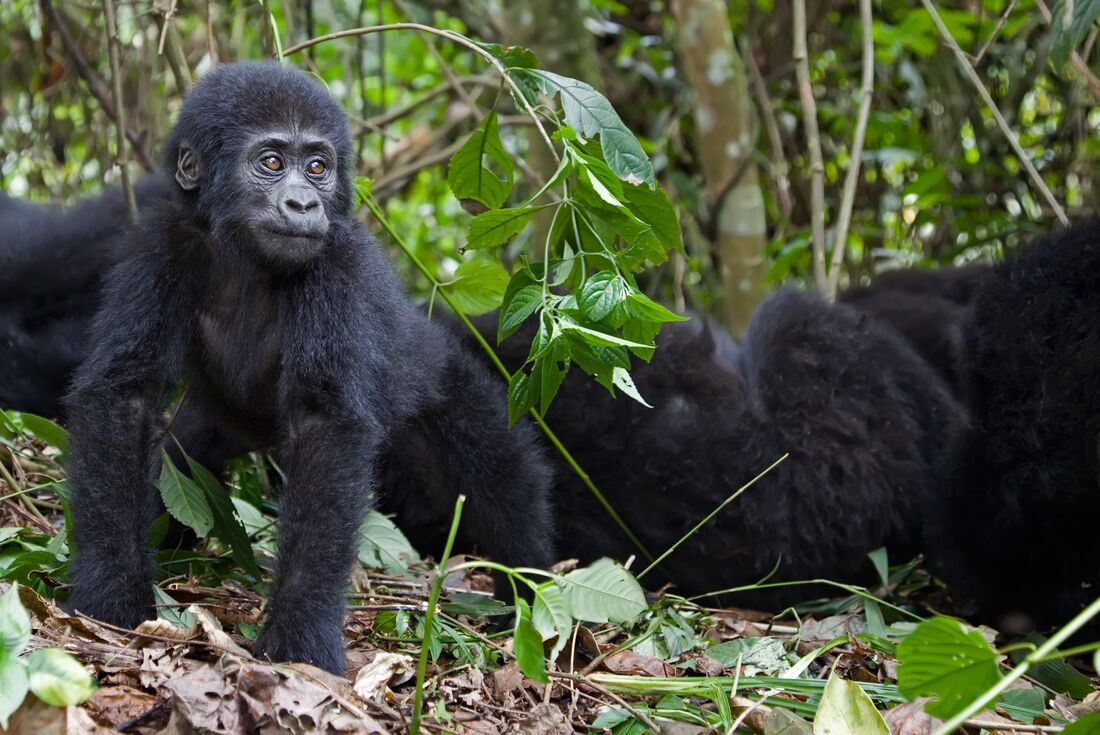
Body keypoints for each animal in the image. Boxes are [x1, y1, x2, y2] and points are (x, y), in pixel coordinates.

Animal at [64, 63, 554, 673]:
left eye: (318, 167)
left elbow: (326, 428)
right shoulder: (164, 244)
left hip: (442, 378)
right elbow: (123, 395)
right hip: (219, 428)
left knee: (504, 473)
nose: (303, 205)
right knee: (182, 460)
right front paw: (111, 589)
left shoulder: (338, 266)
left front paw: (300, 633)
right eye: (272, 162)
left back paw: (526, 593)